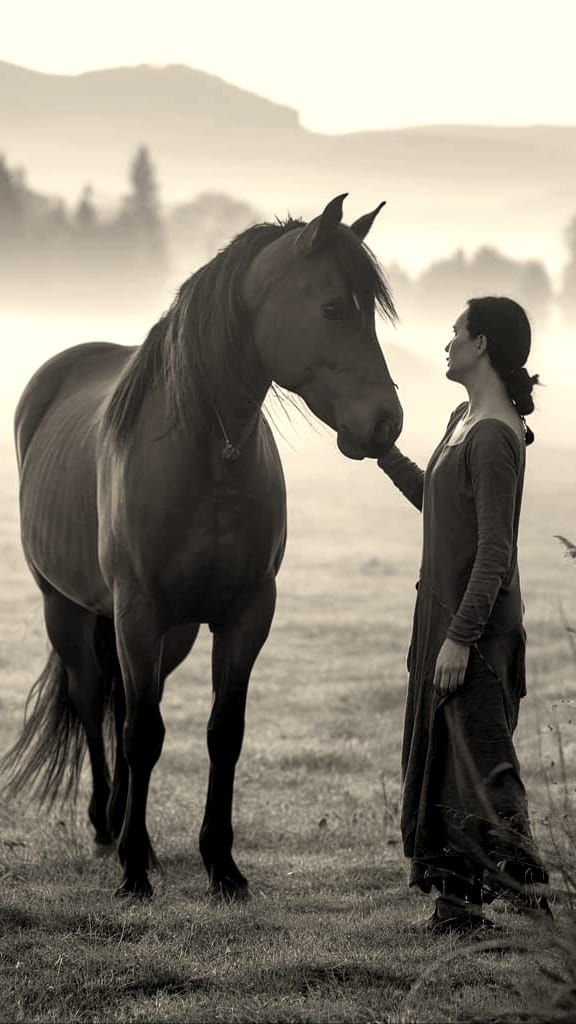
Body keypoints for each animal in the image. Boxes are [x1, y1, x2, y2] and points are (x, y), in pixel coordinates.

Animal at [2, 194, 403, 899]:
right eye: (332, 307)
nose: (387, 423)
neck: (210, 454)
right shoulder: (137, 612)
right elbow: (140, 732)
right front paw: (135, 868)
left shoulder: (245, 614)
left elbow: (223, 731)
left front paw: (222, 865)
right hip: (69, 608)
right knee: (93, 700)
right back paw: (106, 826)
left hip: (173, 632)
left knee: (128, 699)